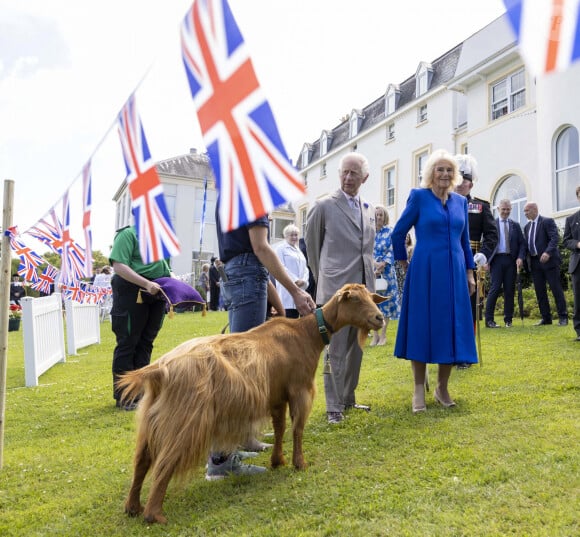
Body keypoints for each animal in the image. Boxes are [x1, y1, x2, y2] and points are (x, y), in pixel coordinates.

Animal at [118, 282, 386, 520]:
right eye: (355, 299)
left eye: (372, 298)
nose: (380, 318)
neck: (306, 333)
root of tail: (159, 370)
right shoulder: (300, 390)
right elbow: (297, 429)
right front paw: (299, 463)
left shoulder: (276, 396)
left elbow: (279, 428)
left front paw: (277, 461)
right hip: (186, 420)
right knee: (165, 463)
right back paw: (154, 514)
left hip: (153, 420)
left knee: (142, 460)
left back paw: (133, 508)